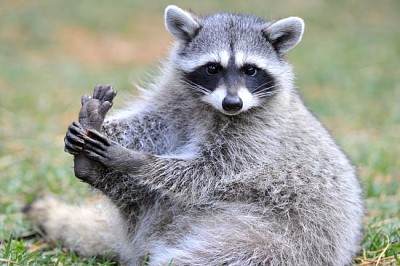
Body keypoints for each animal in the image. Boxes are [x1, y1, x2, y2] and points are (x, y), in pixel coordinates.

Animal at [24, 4, 362, 266]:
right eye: (212, 68)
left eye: (250, 70)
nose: (232, 103)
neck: (211, 107)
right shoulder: (177, 99)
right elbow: (153, 123)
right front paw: (103, 129)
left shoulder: (258, 134)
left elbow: (206, 172)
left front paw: (136, 160)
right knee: (144, 201)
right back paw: (94, 167)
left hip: (276, 243)